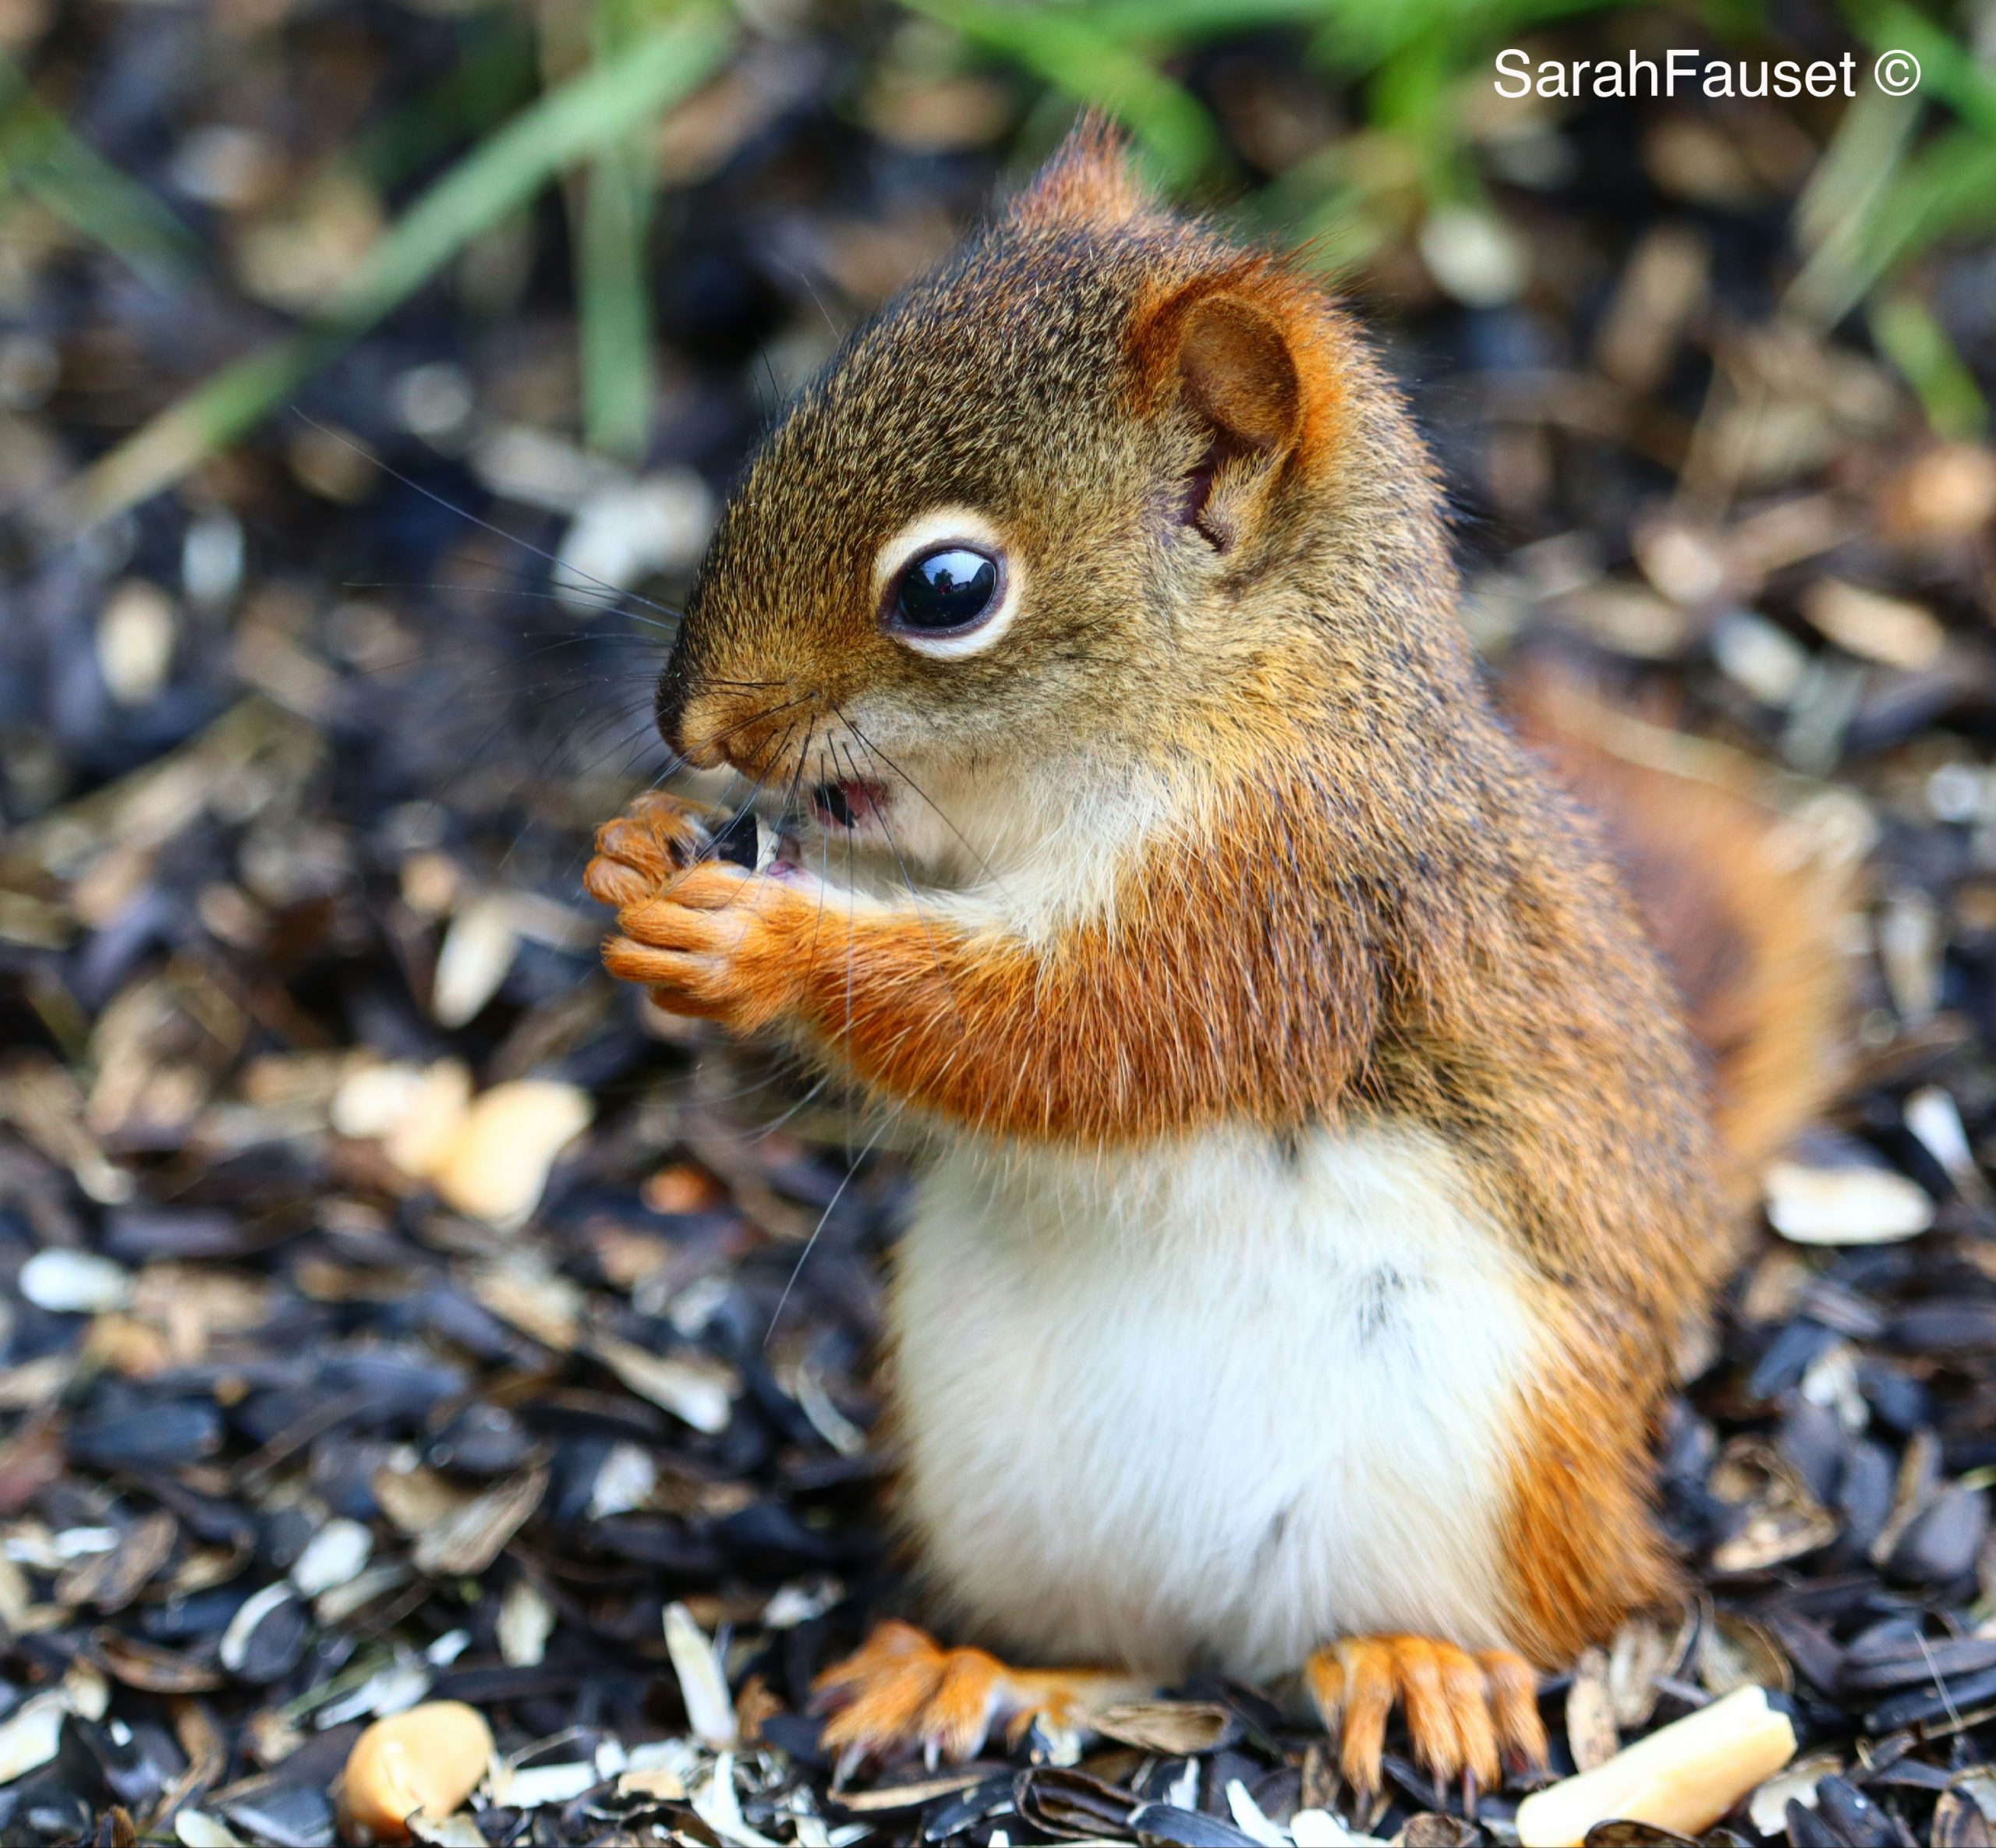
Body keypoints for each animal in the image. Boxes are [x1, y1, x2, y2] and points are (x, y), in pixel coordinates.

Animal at [582, 126, 1844, 1811]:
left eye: (944, 590)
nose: (693, 724)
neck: (1218, 710)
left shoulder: (1285, 906)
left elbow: (1076, 1033)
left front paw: (763, 942)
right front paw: (635, 857)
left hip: (1494, 1462)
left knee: (1512, 1624)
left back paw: (1419, 1670)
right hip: (999, 1477)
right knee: (1110, 1651)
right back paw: (969, 1670)